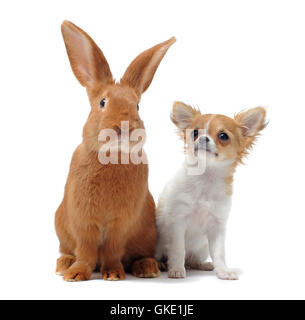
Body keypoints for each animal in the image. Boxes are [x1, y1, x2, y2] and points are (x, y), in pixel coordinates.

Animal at [54, 20, 176, 282]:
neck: (112, 157)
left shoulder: (121, 224)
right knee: (67, 249)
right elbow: (86, 251)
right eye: (102, 102)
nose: (125, 127)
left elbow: (112, 249)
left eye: (137, 106)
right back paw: (63, 264)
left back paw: (147, 268)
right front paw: (75, 274)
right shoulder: (83, 221)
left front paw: (112, 274)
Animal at [157, 102, 266, 280]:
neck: (206, 178)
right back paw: (162, 264)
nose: (202, 138)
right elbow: (178, 249)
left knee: (192, 259)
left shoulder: (217, 226)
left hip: (201, 249)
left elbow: (219, 252)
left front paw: (223, 271)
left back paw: (202, 265)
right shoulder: (178, 222)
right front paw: (177, 270)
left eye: (223, 136)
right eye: (194, 132)